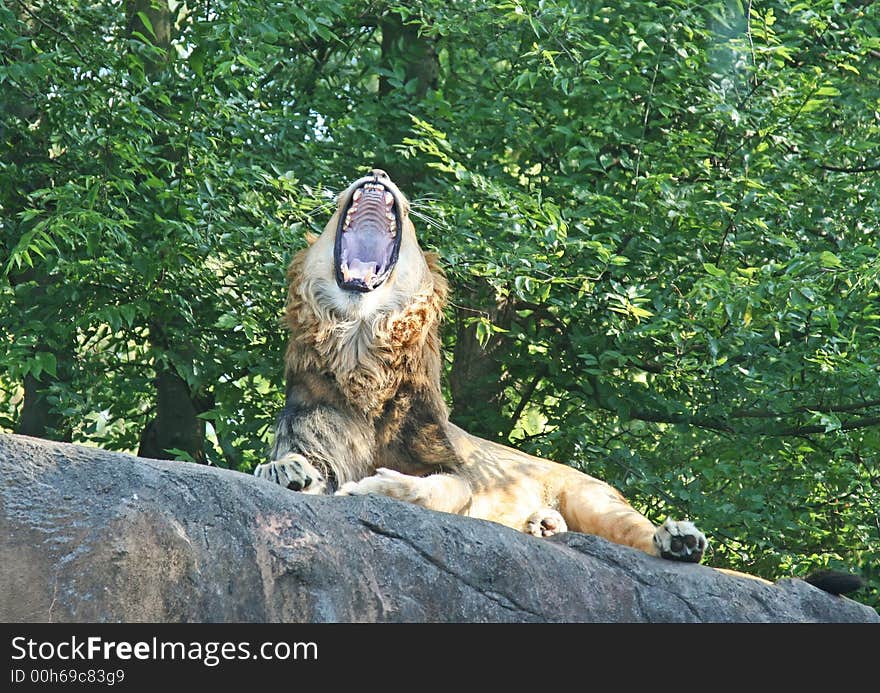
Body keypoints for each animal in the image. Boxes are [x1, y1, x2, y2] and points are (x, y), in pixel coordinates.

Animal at [254, 168, 708, 564]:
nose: (378, 173)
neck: (360, 346)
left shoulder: (455, 470)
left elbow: (440, 489)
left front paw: (382, 484)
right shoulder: (314, 434)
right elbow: (300, 463)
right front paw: (285, 470)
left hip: (594, 497)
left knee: (638, 533)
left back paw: (679, 538)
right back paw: (544, 525)